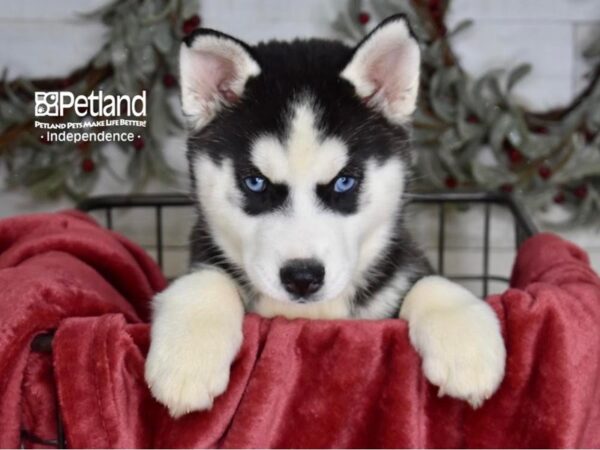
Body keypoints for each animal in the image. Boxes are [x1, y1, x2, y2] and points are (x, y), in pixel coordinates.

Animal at [145, 16, 506, 418]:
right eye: (255, 182)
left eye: (344, 181)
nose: (302, 278)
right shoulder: (204, 251)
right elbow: (206, 278)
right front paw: (187, 359)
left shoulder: (399, 267)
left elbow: (429, 281)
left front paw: (466, 347)